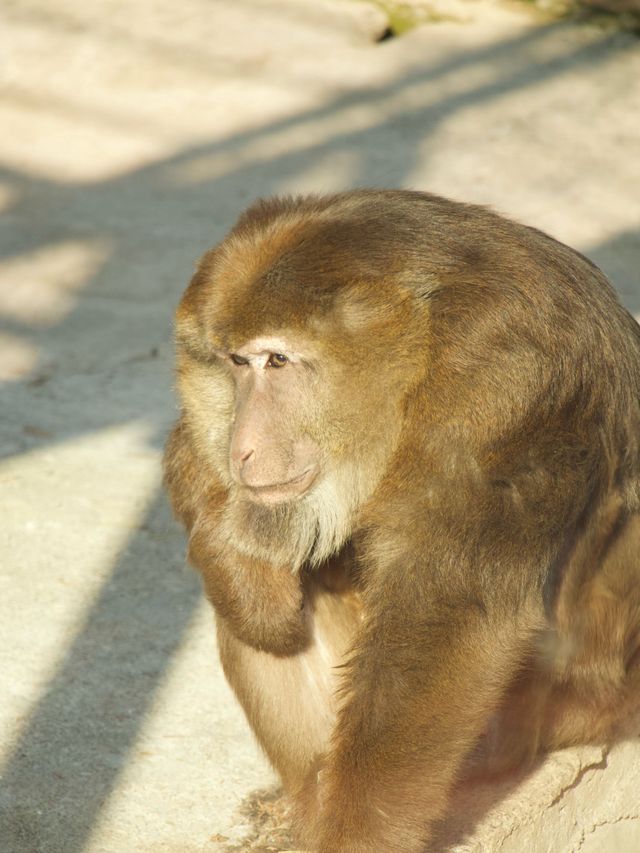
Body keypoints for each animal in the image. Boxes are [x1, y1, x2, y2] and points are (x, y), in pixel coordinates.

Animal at [162, 191, 640, 852]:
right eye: (237, 363)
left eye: (277, 361)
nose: (244, 447)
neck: (423, 345)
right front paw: (245, 573)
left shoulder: (497, 379)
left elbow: (449, 617)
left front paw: (356, 835)